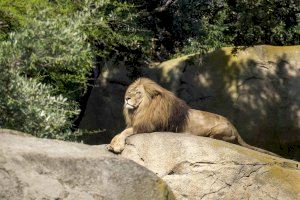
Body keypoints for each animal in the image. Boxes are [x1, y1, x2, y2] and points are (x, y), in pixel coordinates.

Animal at [106, 77, 280, 157]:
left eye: (137, 92)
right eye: (130, 91)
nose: (126, 98)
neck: (142, 109)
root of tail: (234, 126)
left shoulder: (149, 126)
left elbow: (125, 132)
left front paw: (117, 146)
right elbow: (120, 132)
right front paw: (111, 144)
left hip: (218, 129)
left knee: (227, 139)